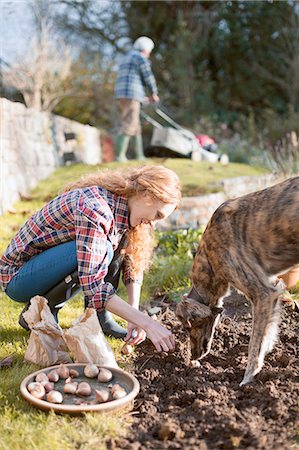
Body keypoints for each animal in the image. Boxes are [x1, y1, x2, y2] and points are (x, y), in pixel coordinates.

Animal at [177, 175, 298, 384]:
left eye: (187, 328)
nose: (192, 358)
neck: (209, 258)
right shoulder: (274, 289)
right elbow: (267, 335)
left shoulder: (263, 294)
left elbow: (254, 344)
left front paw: (247, 379)